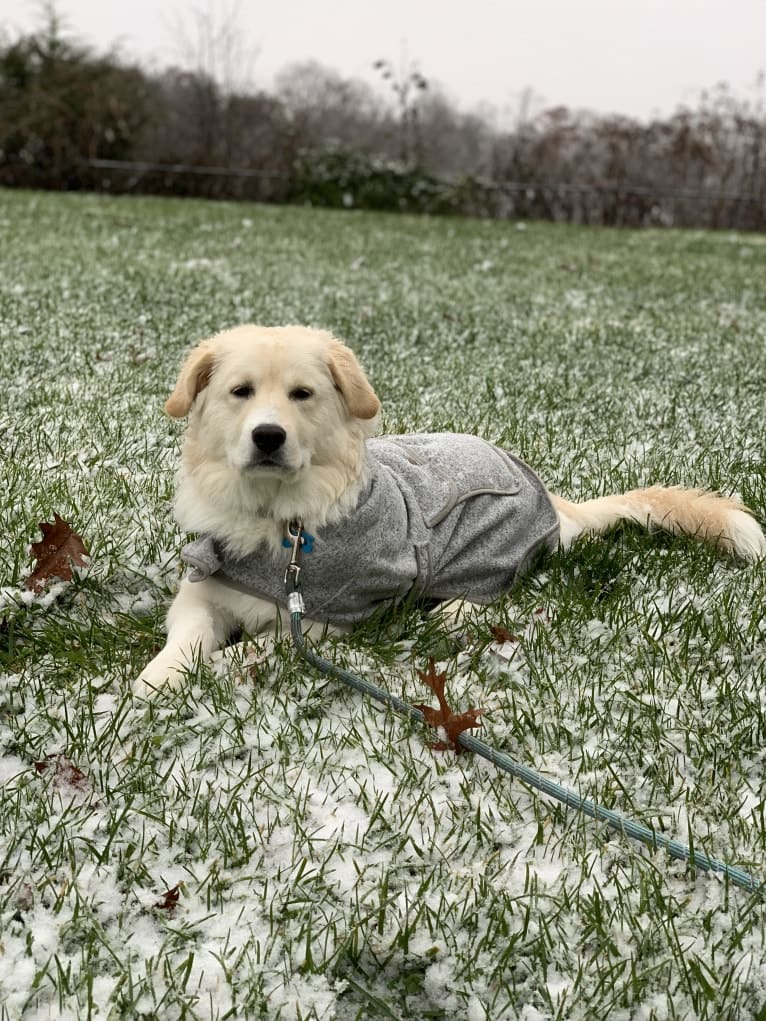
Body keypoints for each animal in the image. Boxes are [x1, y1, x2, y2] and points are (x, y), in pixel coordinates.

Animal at [134, 322, 763, 698]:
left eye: (302, 395)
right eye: (240, 392)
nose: (268, 436)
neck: (281, 521)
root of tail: (545, 494)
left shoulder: (323, 623)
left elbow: (251, 649)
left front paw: (209, 674)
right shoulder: (201, 594)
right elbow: (185, 642)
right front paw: (155, 681)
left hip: (484, 559)